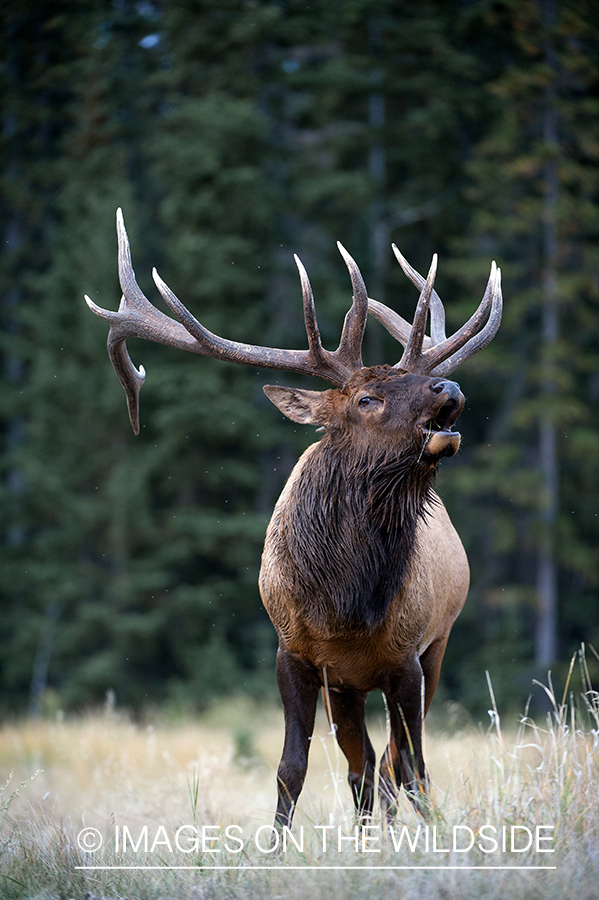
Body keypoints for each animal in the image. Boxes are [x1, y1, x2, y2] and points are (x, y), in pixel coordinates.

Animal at [88, 209, 502, 828]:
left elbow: (414, 769)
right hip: (347, 686)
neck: (344, 605)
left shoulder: (409, 656)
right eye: (366, 399)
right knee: (364, 767)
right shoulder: (296, 654)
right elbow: (292, 770)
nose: (448, 385)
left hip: (437, 645)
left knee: (391, 767)